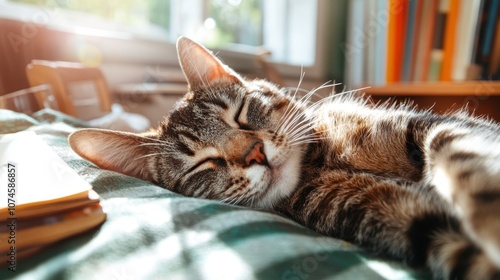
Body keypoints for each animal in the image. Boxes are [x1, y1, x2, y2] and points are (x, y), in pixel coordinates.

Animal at [69, 37, 500, 280]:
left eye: (241, 112)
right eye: (202, 163)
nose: (254, 152)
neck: (321, 161)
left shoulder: (426, 126)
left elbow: (460, 152)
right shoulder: (407, 221)